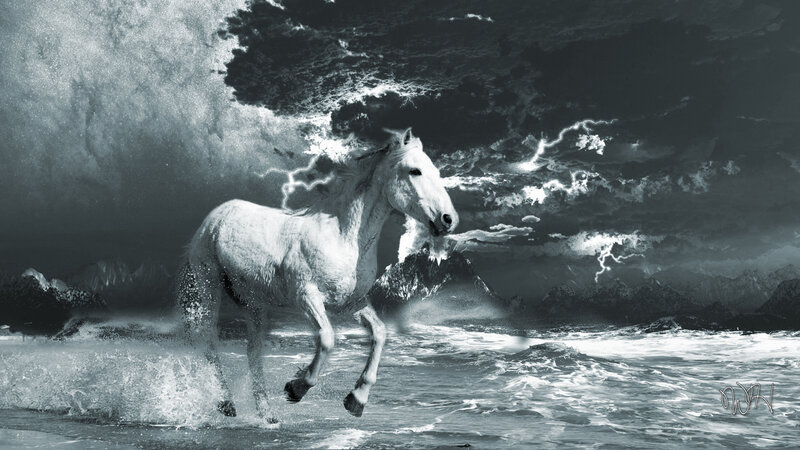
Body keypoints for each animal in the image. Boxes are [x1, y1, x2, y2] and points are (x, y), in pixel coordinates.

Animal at [177, 128, 459, 421]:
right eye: (415, 171)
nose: (448, 219)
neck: (343, 237)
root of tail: (216, 216)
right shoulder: (307, 297)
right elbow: (327, 339)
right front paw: (296, 388)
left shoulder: (353, 303)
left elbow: (380, 334)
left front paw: (356, 400)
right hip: (208, 287)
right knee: (207, 339)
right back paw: (226, 403)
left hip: (254, 304)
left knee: (253, 352)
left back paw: (267, 414)